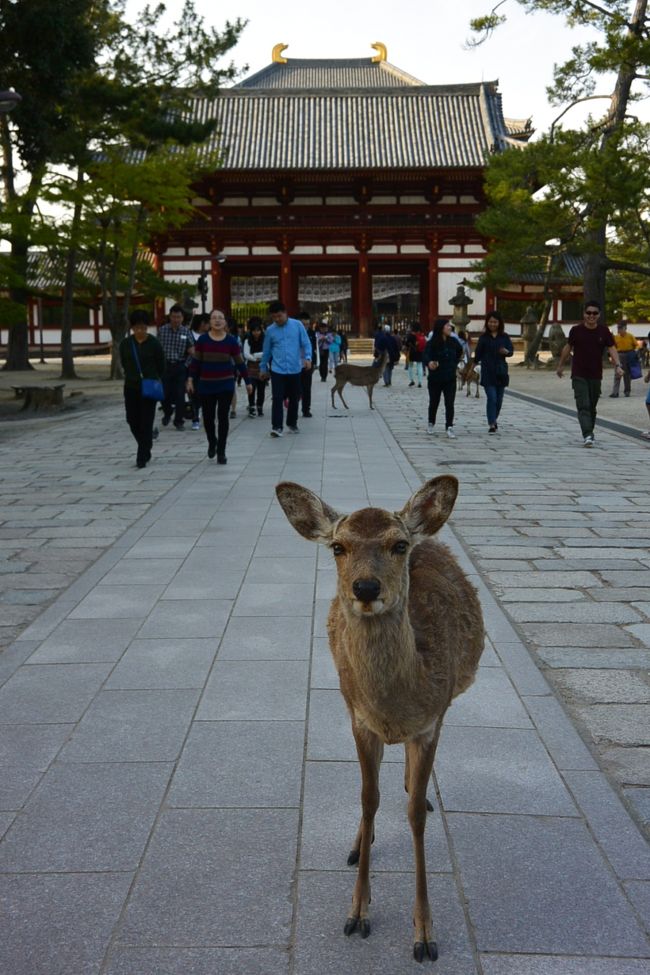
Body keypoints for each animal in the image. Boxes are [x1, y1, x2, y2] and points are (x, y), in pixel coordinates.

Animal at [275, 475, 484, 963]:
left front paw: (424, 934)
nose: (366, 588)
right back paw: (358, 843)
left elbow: (415, 815)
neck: (397, 708)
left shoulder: (430, 723)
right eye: (338, 546)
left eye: (398, 544)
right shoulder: (359, 721)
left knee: (413, 786)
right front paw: (357, 912)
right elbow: (368, 800)